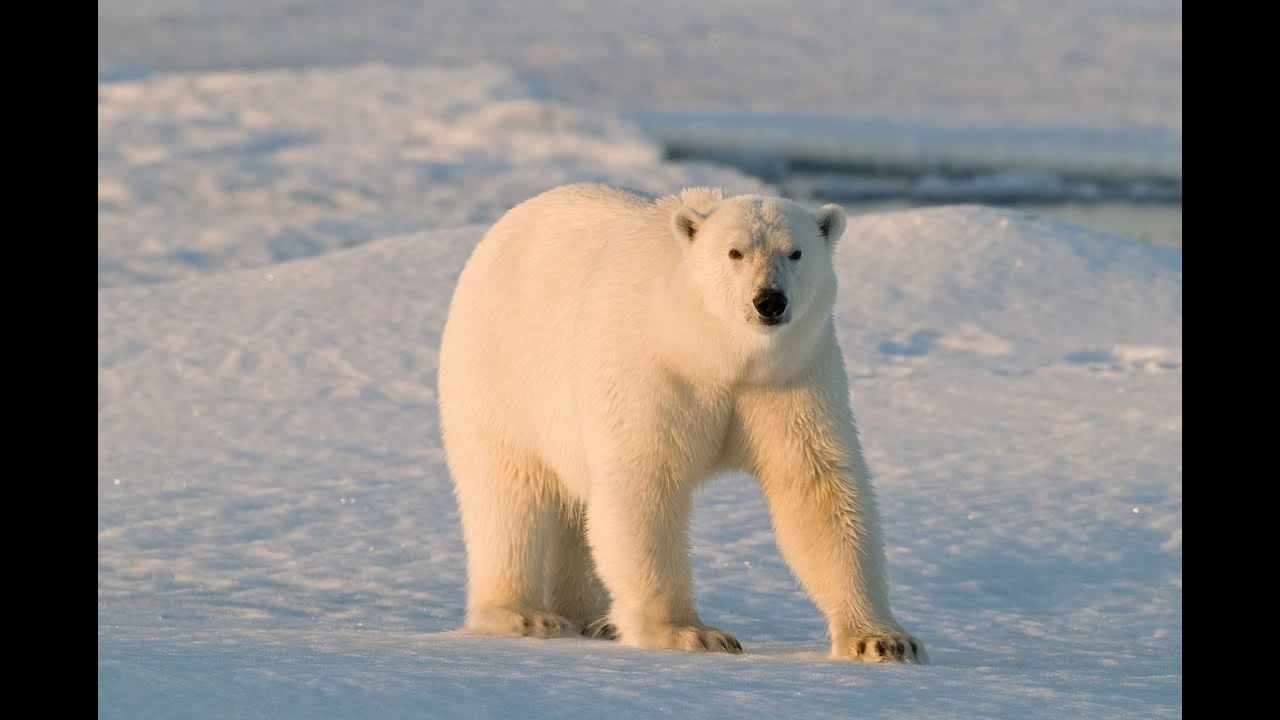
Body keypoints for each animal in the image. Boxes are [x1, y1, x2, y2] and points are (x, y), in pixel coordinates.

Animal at [435, 180, 926, 661]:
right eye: (734, 252)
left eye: (796, 252)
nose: (769, 301)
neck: (710, 350)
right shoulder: (650, 370)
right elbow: (645, 482)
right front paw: (692, 634)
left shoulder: (789, 377)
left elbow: (816, 485)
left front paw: (882, 640)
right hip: (498, 372)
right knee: (509, 494)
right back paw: (525, 615)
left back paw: (594, 619)